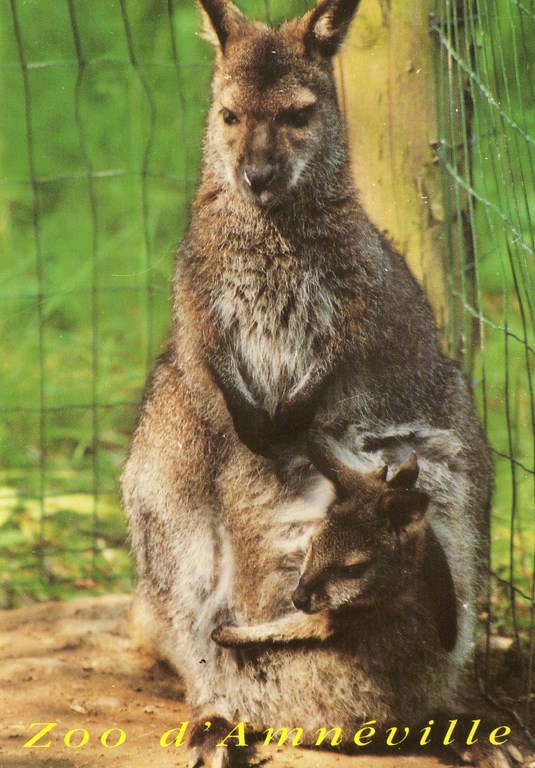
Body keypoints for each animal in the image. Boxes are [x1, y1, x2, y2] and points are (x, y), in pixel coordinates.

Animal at [121, 0, 503, 766]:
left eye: (300, 114)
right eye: (229, 115)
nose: (256, 175)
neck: (272, 227)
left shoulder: (352, 313)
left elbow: (328, 370)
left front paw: (287, 427)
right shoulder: (200, 311)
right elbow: (220, 367)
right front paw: (264, 434)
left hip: (451, 450)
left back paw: (459, 721)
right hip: (163, 474)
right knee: (195, 625)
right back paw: (217, 723)